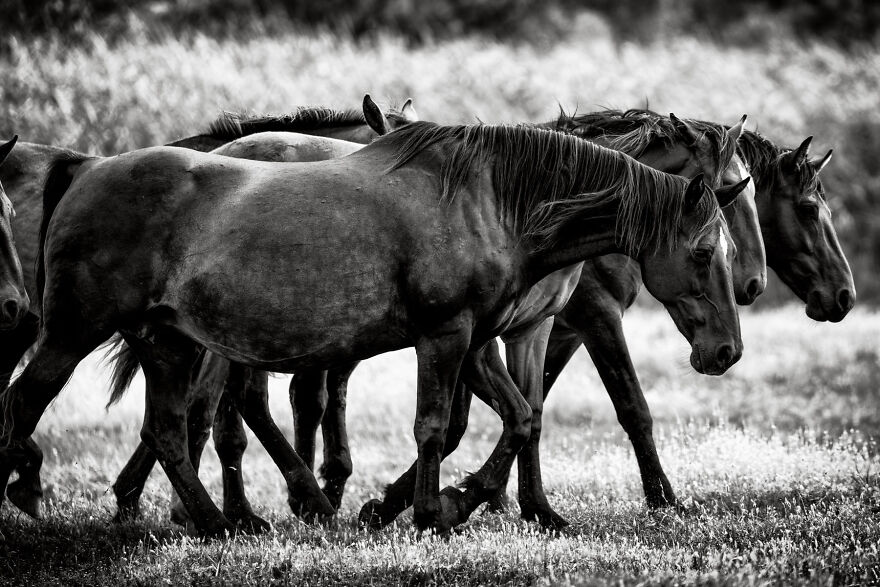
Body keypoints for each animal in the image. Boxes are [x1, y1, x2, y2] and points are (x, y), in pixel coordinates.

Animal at [1, 121, 744, 536]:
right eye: (704, 251)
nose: (726, 352)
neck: (490, 200)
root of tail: (86, 169)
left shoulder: (480, 339)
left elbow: (520, 417)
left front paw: (464, 501)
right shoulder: (446, 336)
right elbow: (435, 426)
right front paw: (430, 511)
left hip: (169, 344)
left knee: (168, 428)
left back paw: (218, 522)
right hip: (74, 334)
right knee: (26, 402)